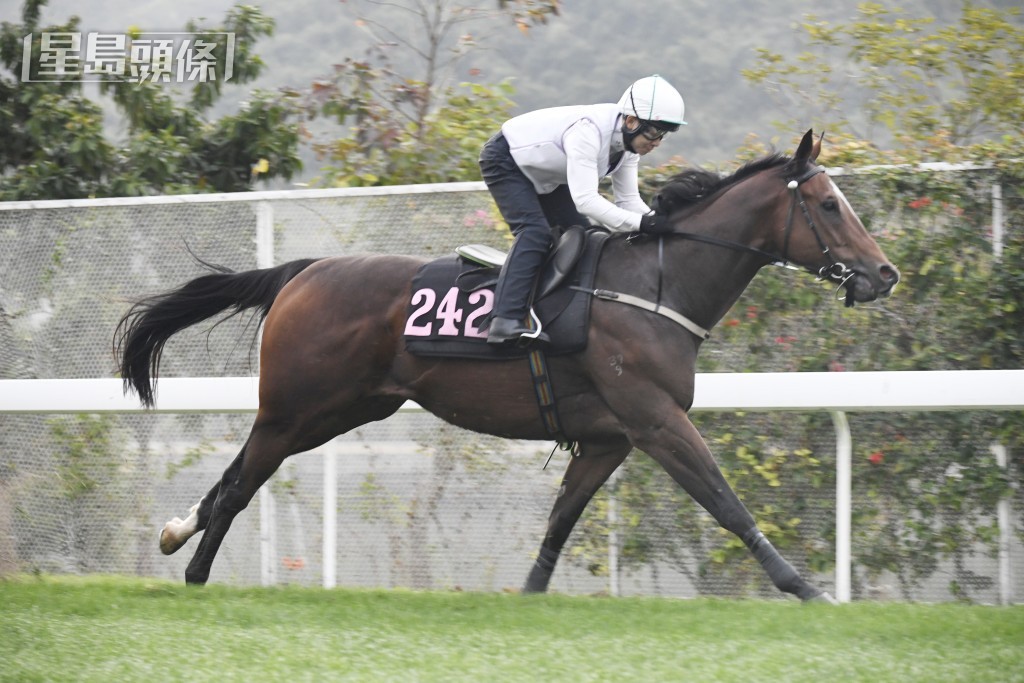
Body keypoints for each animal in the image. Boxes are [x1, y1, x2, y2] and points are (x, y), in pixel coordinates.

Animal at [116, 130, 899, 601]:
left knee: (233, 476)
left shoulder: (608, 437)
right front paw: (805, 587)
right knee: (239, 484)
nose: (884, 274)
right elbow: (726, 501)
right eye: (830, 204)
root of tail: (302, 272)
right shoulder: (656, 421)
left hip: (337, 409)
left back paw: (176, 535)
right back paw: (195, 572)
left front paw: (528, 598)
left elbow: (559, 521)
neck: (656, 285)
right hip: (297, 408)